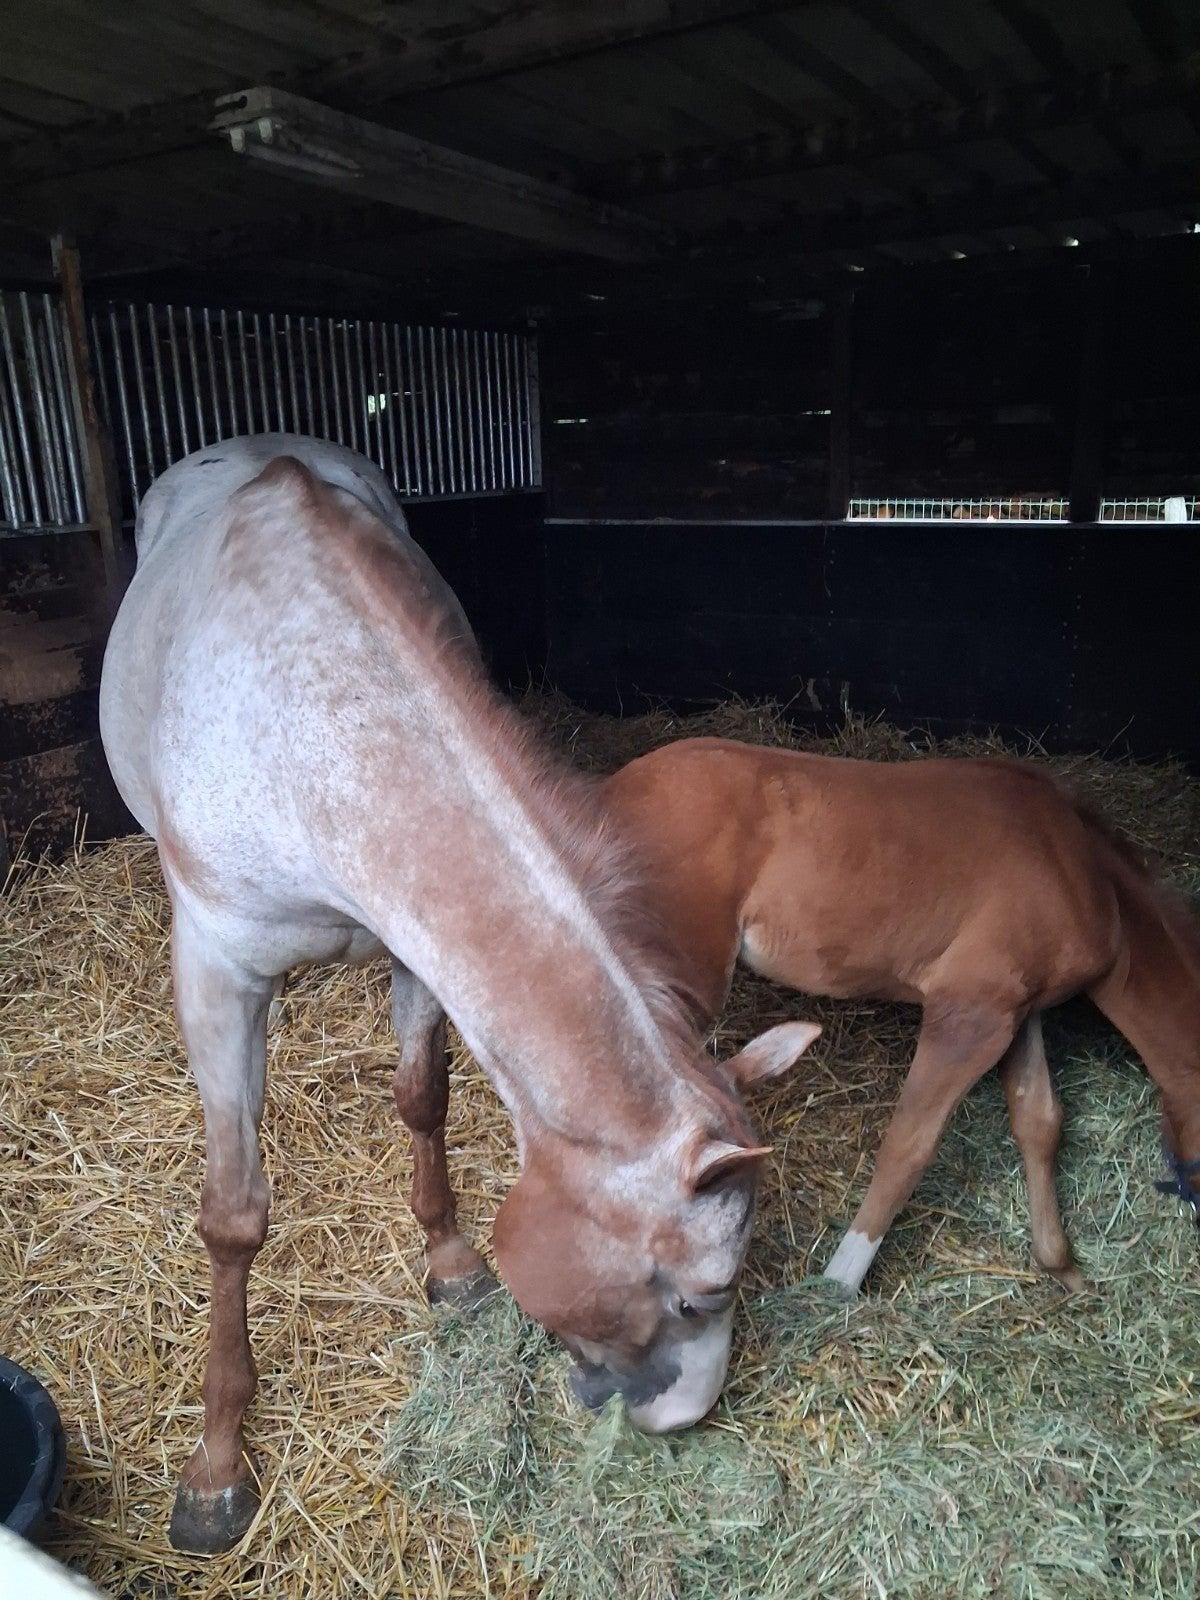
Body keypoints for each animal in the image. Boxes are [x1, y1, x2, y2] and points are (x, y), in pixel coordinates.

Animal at [98, 438, 818, 1554]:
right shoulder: (218, 973)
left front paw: (450, 1265)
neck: (321, 739)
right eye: (706, 1293)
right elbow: (233, 1219)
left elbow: (421, 1099)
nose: (683, 1418)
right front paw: (215, 1468)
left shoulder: (420, 955)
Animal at [602, 736, 1200, 1295]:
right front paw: (839, 1283)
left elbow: (1039, 1120)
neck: (1079, 870)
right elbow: (909, 1144)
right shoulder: (969, 1014)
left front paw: (1063, 1268)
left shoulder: (1016, 1013)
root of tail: (612, 790)